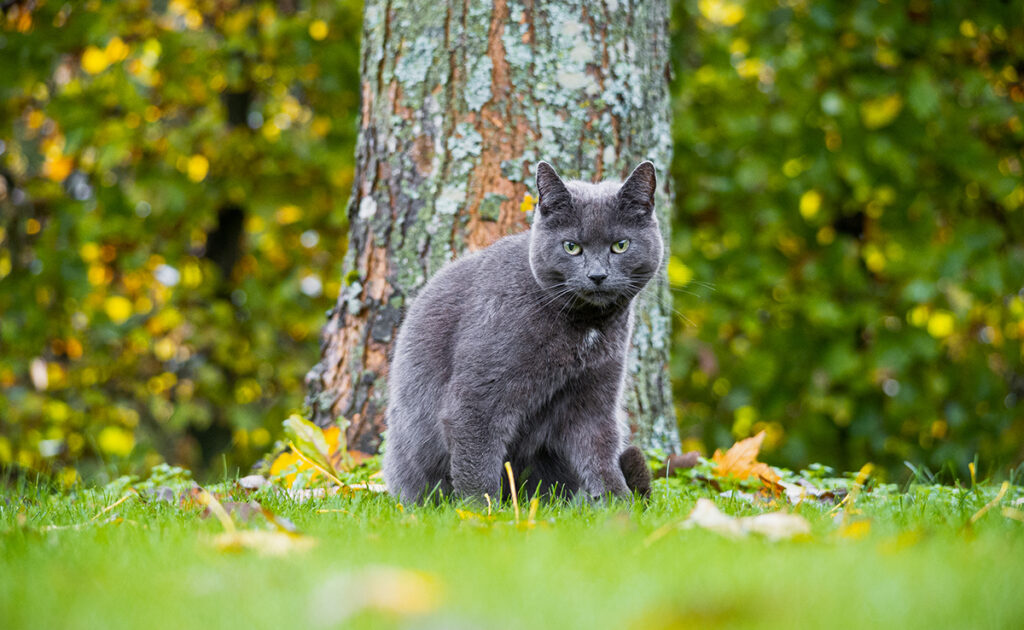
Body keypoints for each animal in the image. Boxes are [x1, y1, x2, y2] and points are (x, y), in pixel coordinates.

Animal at [380, 161, 659, 501]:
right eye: (571, 247)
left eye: (620, 245)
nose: (597, 275)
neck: (585, 327)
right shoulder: (478, 393)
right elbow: (477, 457)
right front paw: (480, 509)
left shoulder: (595, 394)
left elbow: (600, 452)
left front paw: (620, 504)